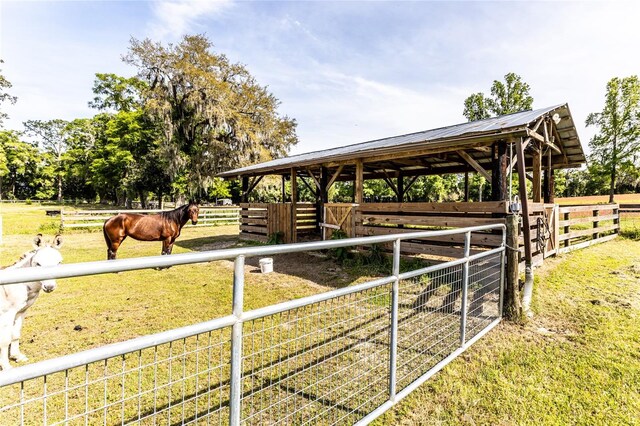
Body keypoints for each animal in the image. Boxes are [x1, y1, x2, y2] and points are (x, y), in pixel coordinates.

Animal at [0, 233, 63, 370]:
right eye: (38, 264)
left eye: (59, 263)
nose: (49, 287)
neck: (21, 283)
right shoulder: (7, 314)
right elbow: (5, 339)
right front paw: (6, 367)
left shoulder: (21, 311)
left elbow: (15, 334)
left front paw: (17, 356)